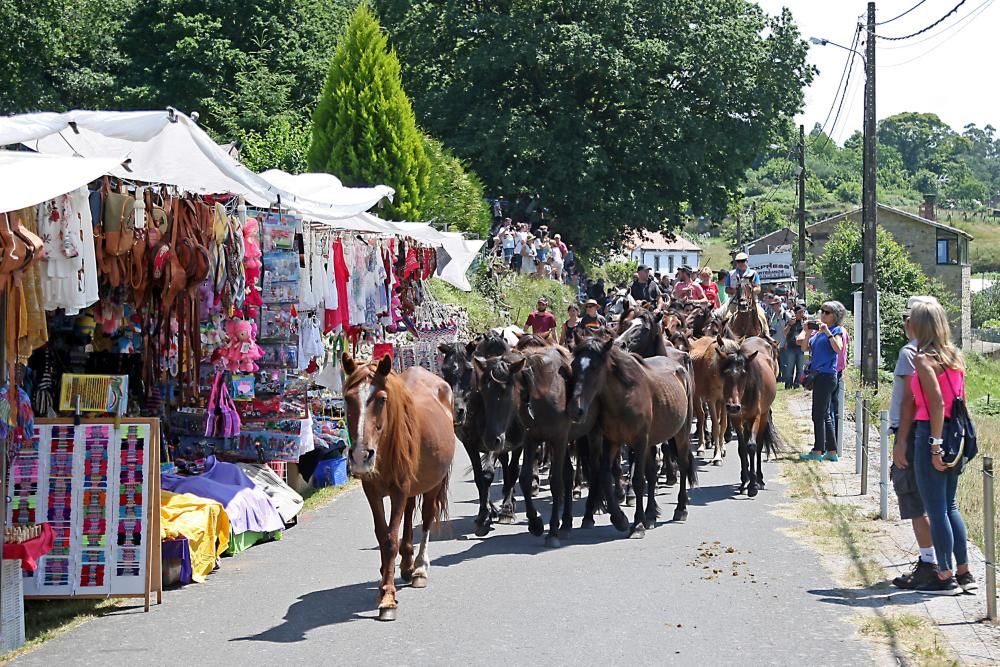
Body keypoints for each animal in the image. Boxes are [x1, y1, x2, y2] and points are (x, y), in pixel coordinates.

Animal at [342, 354, 456, 620]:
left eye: (382, 399)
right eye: (348, 398)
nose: (361, 456)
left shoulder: (398, 491)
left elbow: (390, 540)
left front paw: (387, 598)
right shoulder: (372, 492)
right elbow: (382, 535)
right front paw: (386, 579)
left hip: (433, 483)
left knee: (426, 517)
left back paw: (420, 568)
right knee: (409, 511)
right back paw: (405, 564)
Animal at [720, 340, 780, 496]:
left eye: (744, 374)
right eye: (725, 374)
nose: (733, 406)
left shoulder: (755, 417)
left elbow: (752, 447)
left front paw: (753, 486)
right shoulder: (736, 419)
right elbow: (742, 448)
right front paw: (744, 481)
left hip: (763, 416)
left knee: (758, 445)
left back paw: (759, 479)